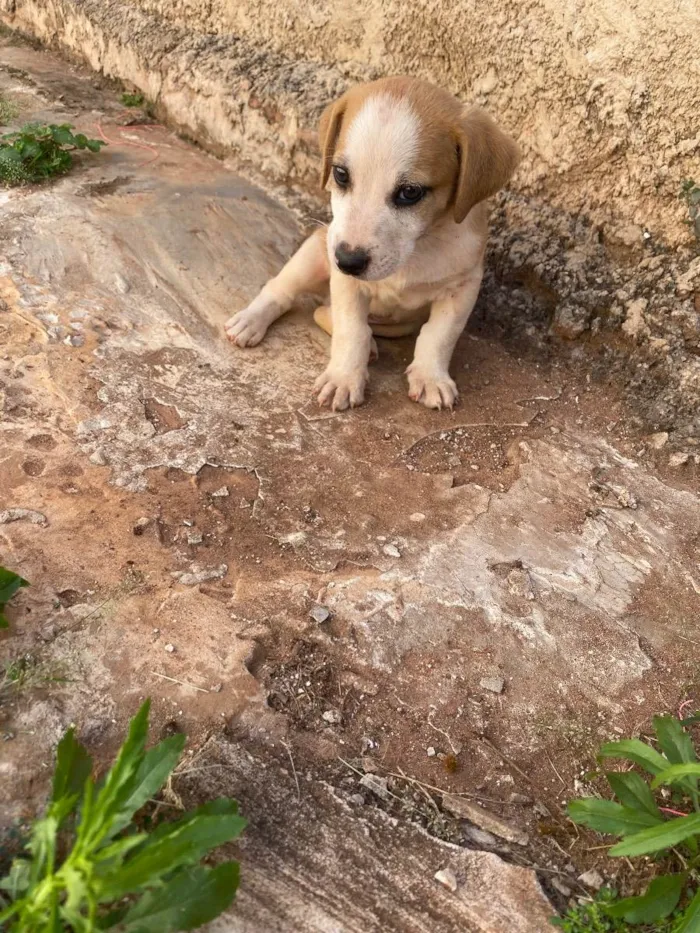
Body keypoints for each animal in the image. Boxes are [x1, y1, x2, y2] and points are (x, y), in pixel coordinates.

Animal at [226, 78, 520, 414]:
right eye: (340, 174)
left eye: (410, 192)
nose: (347, 260)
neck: (417, 249)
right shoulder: (346, 283)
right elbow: (351, 331)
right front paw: (343, 378)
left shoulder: (463, 285)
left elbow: (440, 334)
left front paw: (430, 376)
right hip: (315, 250)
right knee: (281, 291)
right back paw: (250, 321)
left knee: (326, 313)